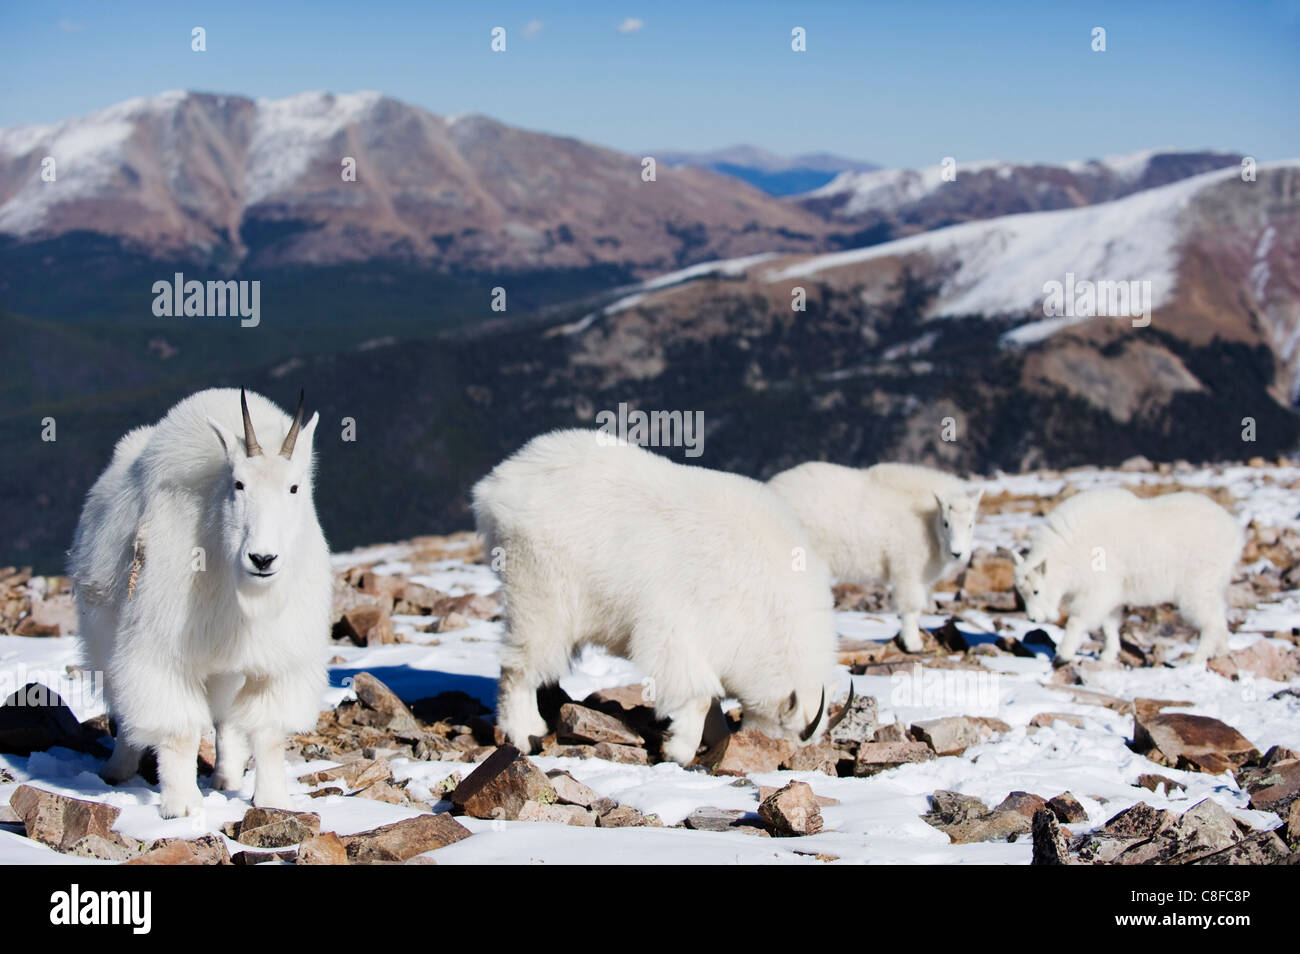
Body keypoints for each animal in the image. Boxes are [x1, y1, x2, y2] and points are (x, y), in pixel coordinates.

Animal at [68, 392, 332, 816]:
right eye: (238, 484)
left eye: (294, 487)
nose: (262, 559)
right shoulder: (163, 654)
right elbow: (179, 733)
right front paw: (183, 806)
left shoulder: (277, 662)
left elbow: (268, 733)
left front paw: (273, 801)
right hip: (105, 640)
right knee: (125, 706)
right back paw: (118, 769)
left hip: (224, 669)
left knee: (225, 719)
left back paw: (226, 777)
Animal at [473, 428, 837, 764]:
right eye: (792, 731)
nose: (783, 758)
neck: (770, 609)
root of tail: (495, 487)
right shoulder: (678, 632)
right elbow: (698, 696)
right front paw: (679, 750)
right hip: (537, 591)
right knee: (520, 664)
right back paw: (525, 732)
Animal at [764, 462, 977, 657]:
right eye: (946, 523)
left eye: (971, 524)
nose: (957, 553)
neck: (929, 523)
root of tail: (771, 489)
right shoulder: (908, 568)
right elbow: (911, 607)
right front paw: (913, 645)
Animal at [1008, 486, 1242, 665]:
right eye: (1021, 592)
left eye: (1036, 591)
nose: (1033, 618)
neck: (1069, 551)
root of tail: (1234, 533)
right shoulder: (1112, 593)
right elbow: (1109, 624)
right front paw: (1107, 656)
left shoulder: (1098, 589)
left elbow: (1078, 620)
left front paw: (1062, 656)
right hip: (1213, 583)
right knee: (1219, 616)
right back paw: (1222, 653)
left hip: (1197, 584)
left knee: (1210, 621)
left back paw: (1196, 659)